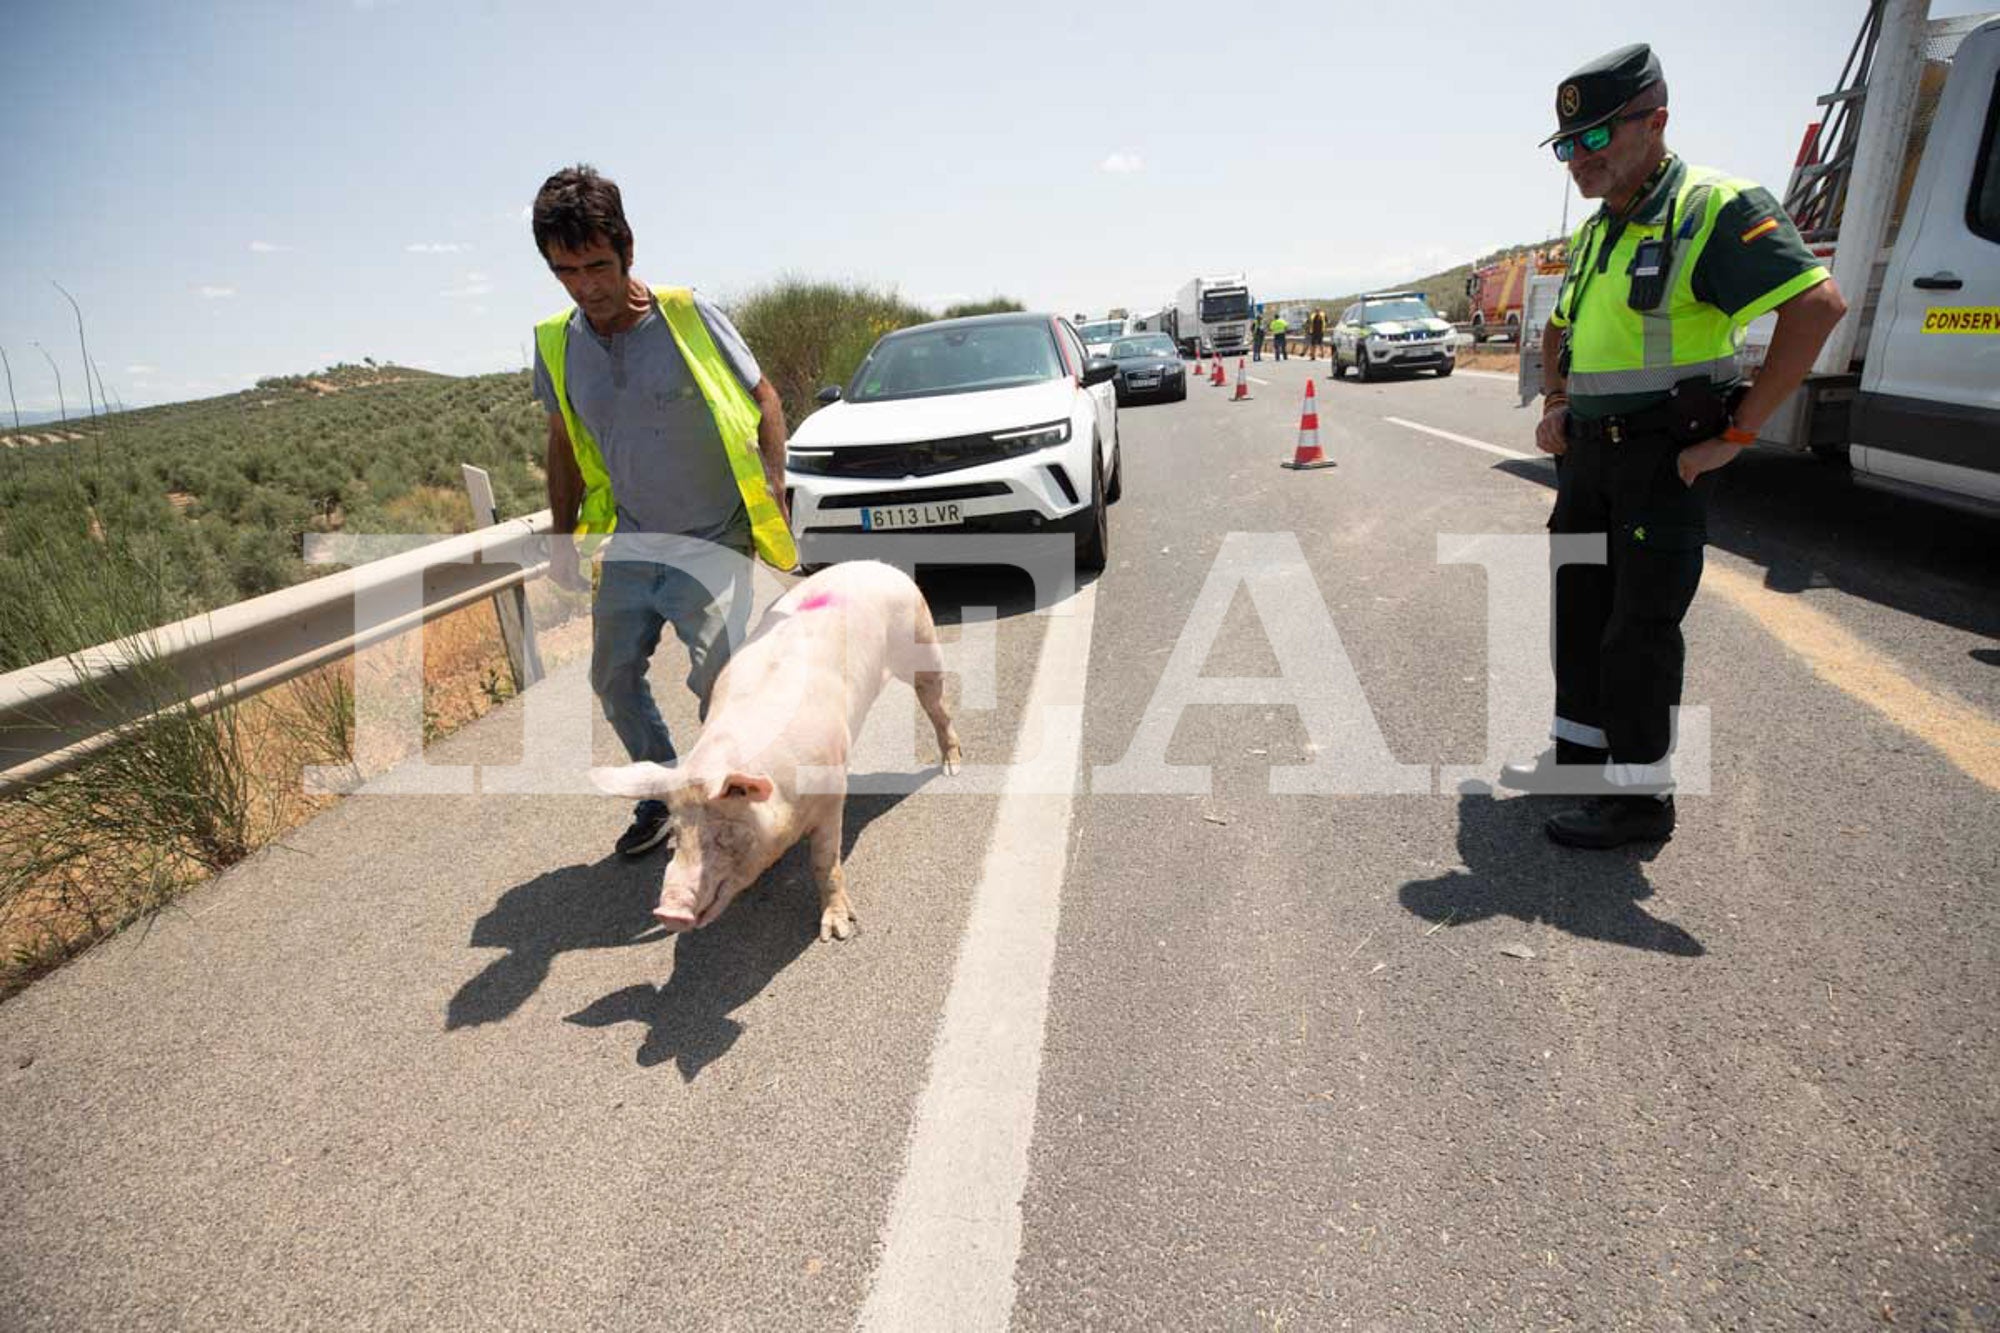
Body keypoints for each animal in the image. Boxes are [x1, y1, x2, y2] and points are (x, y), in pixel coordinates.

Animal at [584, 556, 960, 940]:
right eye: (676, 832)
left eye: (724, 835)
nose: (668, 911)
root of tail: (877, 564)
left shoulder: (830, 798)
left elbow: (825, 860)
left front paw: (837, 933)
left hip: (921, 641)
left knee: (936, 704)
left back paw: (951, 767)